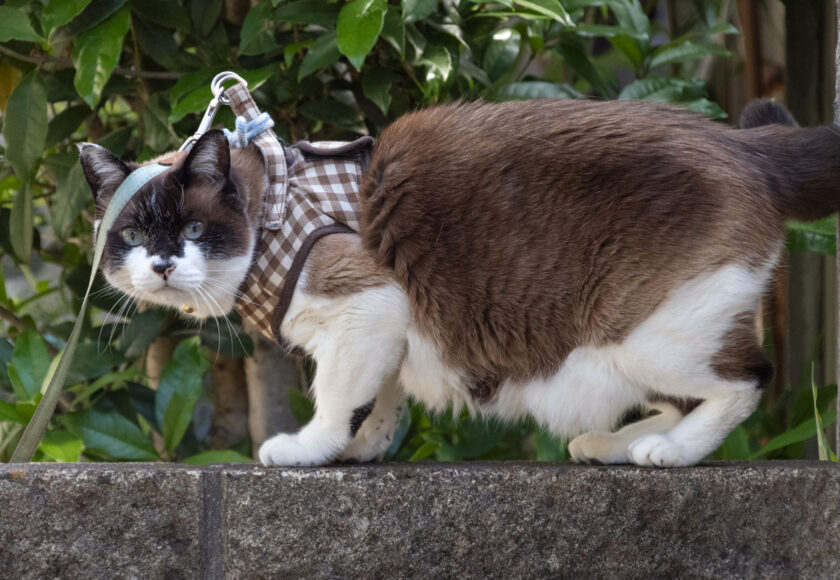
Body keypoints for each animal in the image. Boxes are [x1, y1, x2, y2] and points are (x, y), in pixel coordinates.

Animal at [80, 98, 840, 466]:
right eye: (134, 238)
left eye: (191, 229)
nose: (161, 263)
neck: (272, 213)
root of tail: (741, 144)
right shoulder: (384, 332)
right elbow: (377, 401)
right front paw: (361, 450)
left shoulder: (365, 307)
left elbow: (335, 396)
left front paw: (310, 450)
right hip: (628, 353)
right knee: (682, 399)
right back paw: (613, 447)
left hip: (647, 334)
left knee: (746, 379)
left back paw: (669, 455)